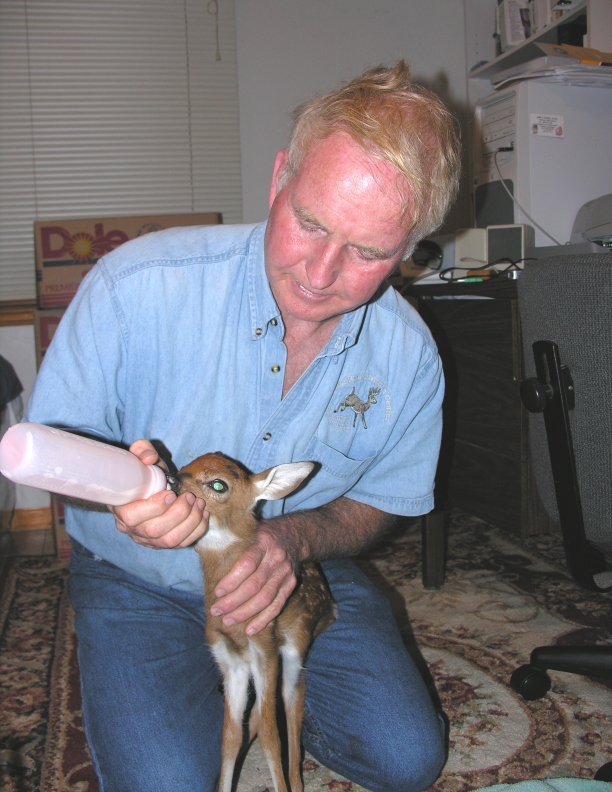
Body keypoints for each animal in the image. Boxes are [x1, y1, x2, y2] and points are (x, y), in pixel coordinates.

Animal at [174, 453, 336, 792]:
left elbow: (272, 737)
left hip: (296, 643)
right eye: (184, 467)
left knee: (293, 703)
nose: (172, 479)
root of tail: (332, 607)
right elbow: (230, 737)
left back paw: (296, 783)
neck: (236, 628)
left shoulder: (265, 650)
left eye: (218, 484)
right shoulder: (229, 660)